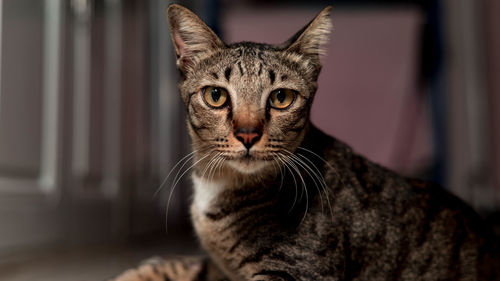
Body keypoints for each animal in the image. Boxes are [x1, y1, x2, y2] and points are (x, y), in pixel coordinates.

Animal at [111, 3, 498, 280]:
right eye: (216, 96)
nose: (248, 134)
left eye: (281, 98)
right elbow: (171, 264)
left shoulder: (296, 272)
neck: (221, 183)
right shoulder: (216, 268)